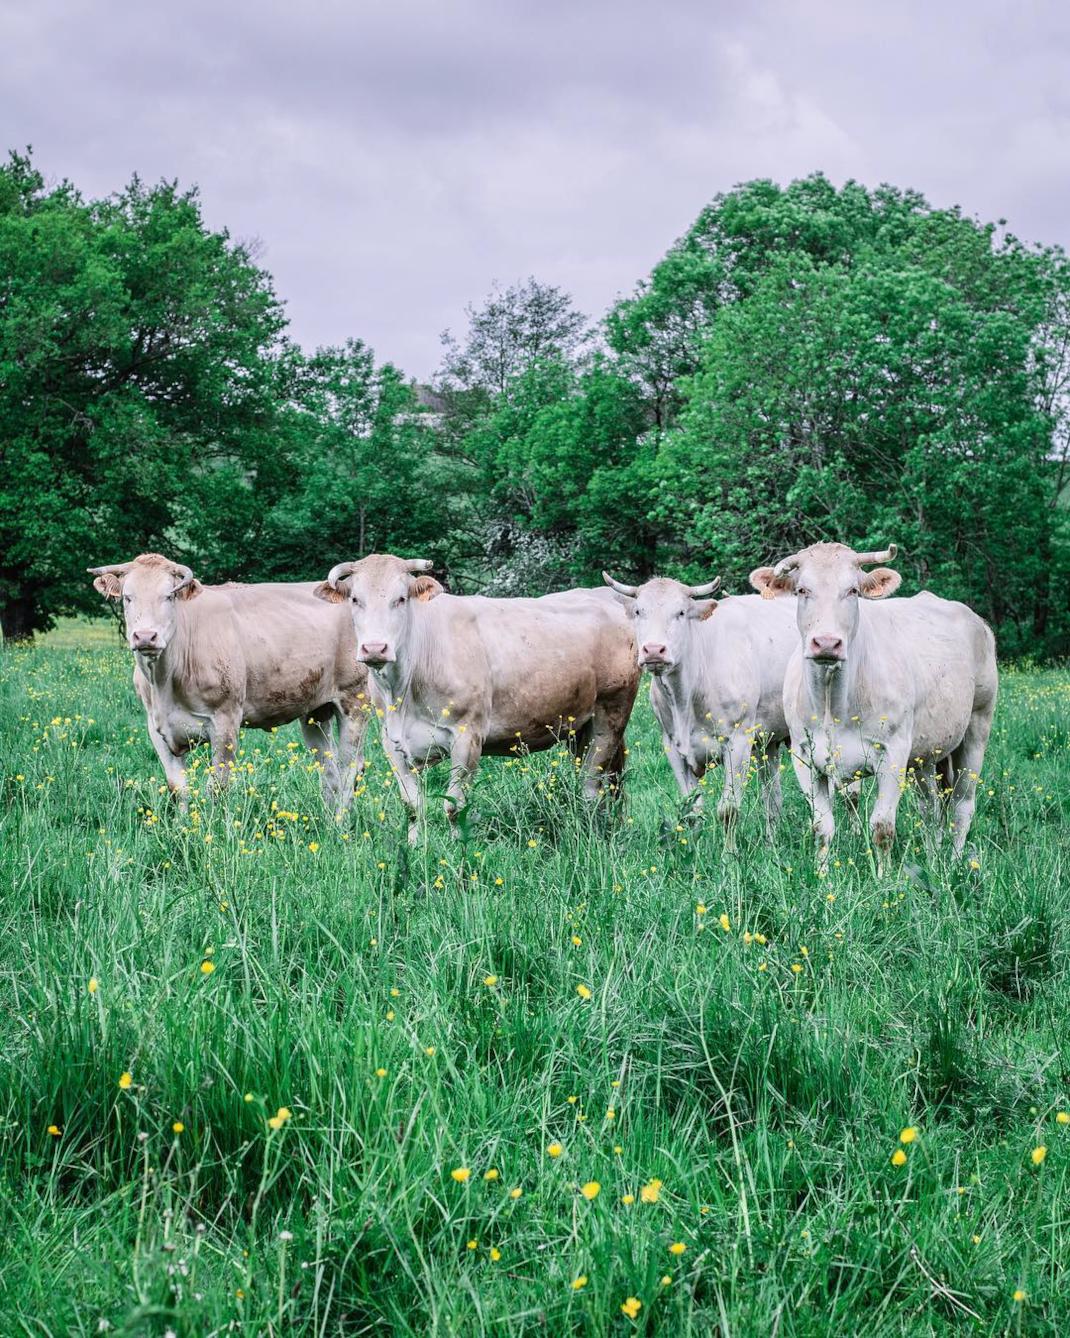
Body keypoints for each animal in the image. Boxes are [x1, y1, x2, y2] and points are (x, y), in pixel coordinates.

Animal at [88, 551, 371, 808]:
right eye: (128, 597)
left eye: (168, 596)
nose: (146, 636)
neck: (164, 683)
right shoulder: (157, 728)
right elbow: (178, 789)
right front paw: (183, 826)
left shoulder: (225, 721)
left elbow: (217, 788)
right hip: (316, 710)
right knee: (329, 771)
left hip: (355, 701)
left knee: (349, 769)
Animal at [596, 569, 797, 840]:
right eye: (638, 611)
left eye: (681, 612)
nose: (654, 650)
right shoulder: (672, 745)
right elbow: (691, 809)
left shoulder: (738, 741)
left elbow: (728, 810)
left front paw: (729, 852)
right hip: (769, 739)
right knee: (772, 795)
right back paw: (770, 839)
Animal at [749, 543, 1000, 867]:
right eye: (802, 590)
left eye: (853, 590)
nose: (827, 643)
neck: (833, 701)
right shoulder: (805, 757)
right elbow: (822, 826)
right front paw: (822, 873)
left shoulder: (893, 753)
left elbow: (882, 827)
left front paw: (884, 876)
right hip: (926, 753)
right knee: (930, 806)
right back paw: (933, 858)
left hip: (977, 728)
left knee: (962, 804)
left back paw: (955, 862)